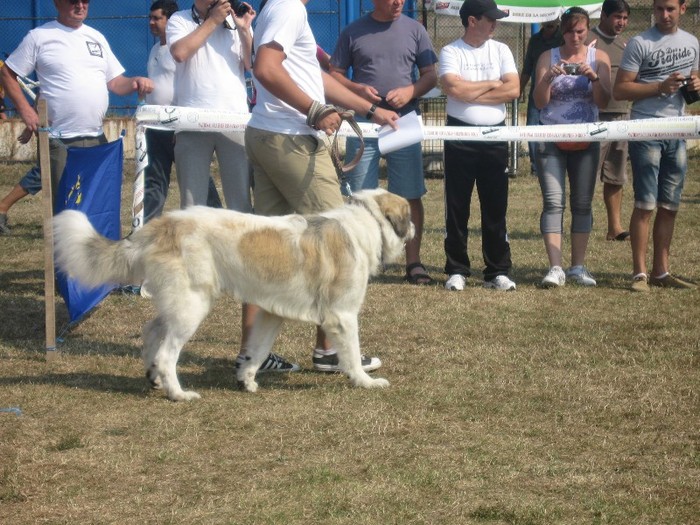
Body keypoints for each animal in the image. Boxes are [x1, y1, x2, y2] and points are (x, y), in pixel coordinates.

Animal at [57, 188, 416, 402]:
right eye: (410, 216)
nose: (413, 229)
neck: (366, 223)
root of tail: (162, 225)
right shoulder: (342, 316)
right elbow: (352, 353)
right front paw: (364, 381)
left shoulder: (272, 314)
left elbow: (257, 350)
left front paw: (246, 379)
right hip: (192, 307)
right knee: (167, 352)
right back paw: (178, 393)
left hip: (180, 302)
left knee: (152, 331)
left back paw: (154, 377)